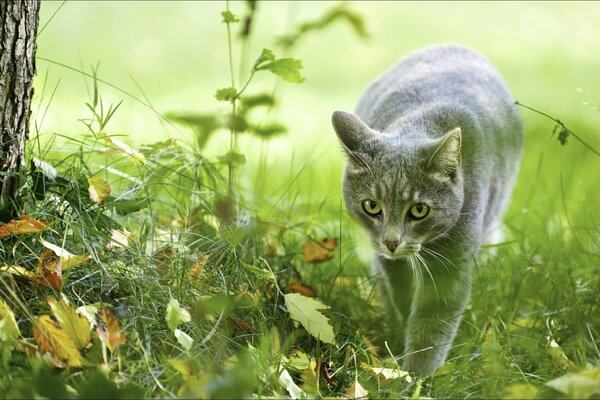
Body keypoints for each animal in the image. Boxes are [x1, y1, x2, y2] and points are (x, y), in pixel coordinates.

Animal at [330, 44, 524, 376]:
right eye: (371, 205)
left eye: (419, 210)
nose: (391, 242)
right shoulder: (389, 263)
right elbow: (402, 294)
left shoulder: (452, 262)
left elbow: (433, 323)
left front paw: (415, 376)